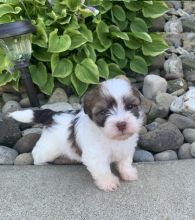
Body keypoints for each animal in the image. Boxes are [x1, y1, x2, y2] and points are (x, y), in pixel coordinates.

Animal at [9, 78, 143, 192]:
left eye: (130, 106)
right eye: (104, 112)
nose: (121, 124)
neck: (111, 137)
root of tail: (53, 115)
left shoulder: (126, 148)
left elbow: (125, 162)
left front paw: (128, 173)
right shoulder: (95, 156)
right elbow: (102, 170)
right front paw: (108, 182)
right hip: (48, 148)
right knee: (38, 154)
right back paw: (41, 163)